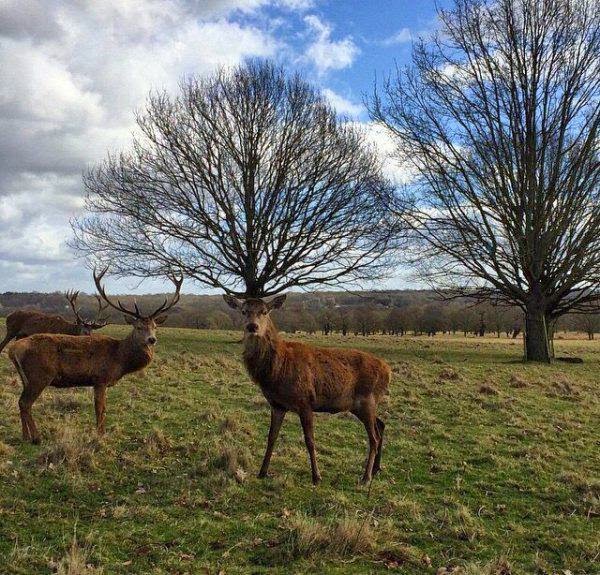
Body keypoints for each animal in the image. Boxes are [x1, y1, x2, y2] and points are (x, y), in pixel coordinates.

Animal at [7, 269, 182, 444]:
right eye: (138, 327)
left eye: (155, 327)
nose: (152, 340)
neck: (120, 359)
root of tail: (13, 349)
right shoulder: (100, 378)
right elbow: (100, 409)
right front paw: (100, 435)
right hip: (40, 375)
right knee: (25, 403)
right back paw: (36, 438)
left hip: (26, 378)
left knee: (21, 402)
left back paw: (25, 436)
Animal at [223, 294, 391, 485]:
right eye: (243, 311)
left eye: (264, 311)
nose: (252, 326)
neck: (278, 369)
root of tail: (388, 371)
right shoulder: (277, 405)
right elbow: (271, 437)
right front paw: (262, 472)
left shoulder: (305, 401)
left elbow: (309, 440)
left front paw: (316, 477)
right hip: (361, 405)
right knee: (381, 425)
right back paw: (376, 470)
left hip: (367, 399)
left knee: (374, 437)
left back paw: (366, 477)